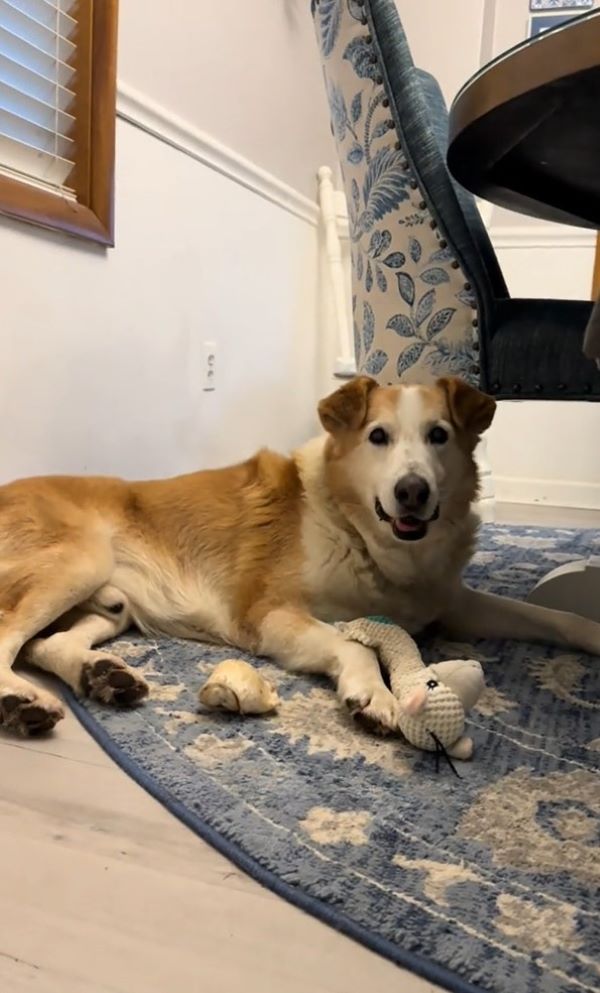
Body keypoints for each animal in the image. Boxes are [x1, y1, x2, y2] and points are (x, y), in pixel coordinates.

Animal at [1, 374, 600, 736]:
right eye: (378, 436)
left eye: (439, 435)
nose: (412, 492)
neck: (361, 533)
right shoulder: (271, 616)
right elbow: (354, 646)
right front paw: (373, 694)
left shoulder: (453, 603)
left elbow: (551, 615)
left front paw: (591, 631)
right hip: (79, 562)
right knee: (10, 637)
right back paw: (23, 702)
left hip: (112, 603)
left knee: (48, 644)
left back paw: (102, 677)